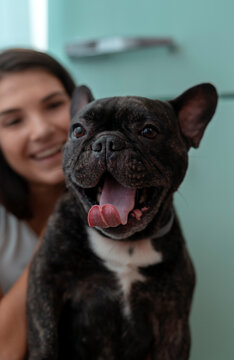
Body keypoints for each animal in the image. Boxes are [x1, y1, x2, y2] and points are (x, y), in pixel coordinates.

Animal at [26, 83, 218, 358]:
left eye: (149, 131)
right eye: (78, 130)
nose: (107, 142)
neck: (125, 244)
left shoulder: (173, 318)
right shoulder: (46, 281)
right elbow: (46, 337)